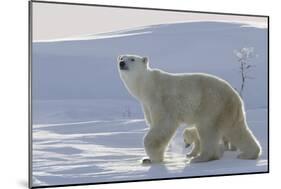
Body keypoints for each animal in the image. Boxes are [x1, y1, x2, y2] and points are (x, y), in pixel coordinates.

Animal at [116, 54, 260, 163]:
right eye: (122, 57)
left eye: (132, 59)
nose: (121, 63)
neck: (146, 86)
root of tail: (236, 96)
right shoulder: (147, 105)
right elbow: (152, 123)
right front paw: (147, 159)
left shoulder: (161, 101)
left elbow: (163, 125)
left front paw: (154, 158)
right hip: (227, 111)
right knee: (237, 130)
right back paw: (249, 154)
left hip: (211, 106)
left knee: (208, 130)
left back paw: (201, 158)